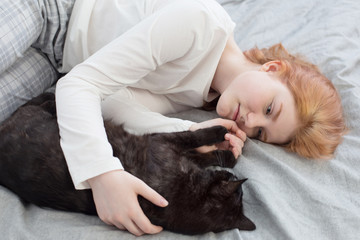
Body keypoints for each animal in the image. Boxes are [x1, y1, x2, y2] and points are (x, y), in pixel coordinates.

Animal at [0, 92, 256, 234]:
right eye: (233, 181)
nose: (234, 177)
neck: (185, 196)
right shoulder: (161, 142)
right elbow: (193, 138)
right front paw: (222, 134)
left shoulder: (168, 150)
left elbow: (200, 154)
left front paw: (227, 155)